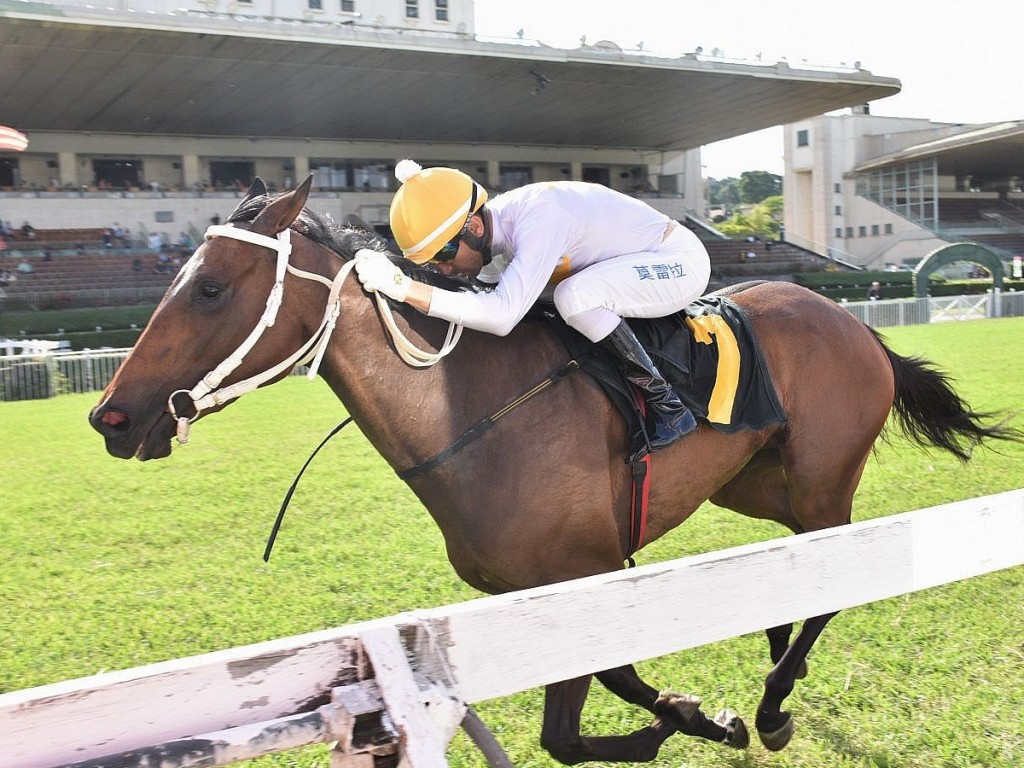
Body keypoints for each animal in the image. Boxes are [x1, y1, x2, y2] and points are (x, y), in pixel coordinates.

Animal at [90, 180, 1024, 765]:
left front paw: (704, 720)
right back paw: (770, 677)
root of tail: (855, 323)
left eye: (210, 287)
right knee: (797, 576)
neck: (470, 415)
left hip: (823, 481)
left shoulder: (586, 570)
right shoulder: (548, 590)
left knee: (833, 579)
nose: (112, 418)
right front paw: (691, 717)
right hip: (758, 485)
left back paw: (771, 702)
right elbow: (602, 698)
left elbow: (573, 726)